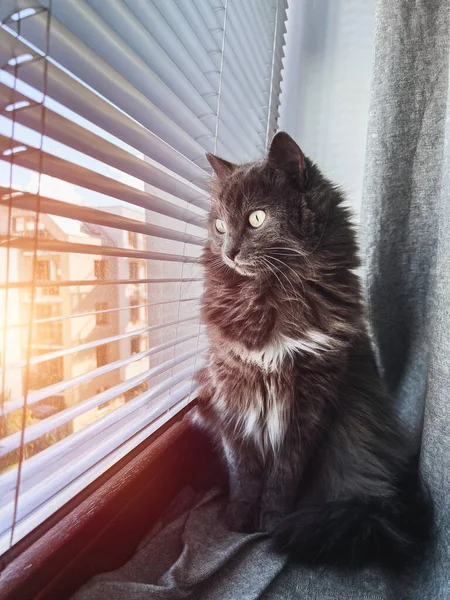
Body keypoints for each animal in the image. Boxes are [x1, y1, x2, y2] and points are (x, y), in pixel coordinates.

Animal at [193, 131, 432, 568]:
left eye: (256, 218)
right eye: (219, 226)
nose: (228, 251)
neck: (268, 296)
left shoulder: (310, 401)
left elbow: (284, 474)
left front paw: (271, 521)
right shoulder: (231, 390)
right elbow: (243, 468)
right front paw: (239, 517)